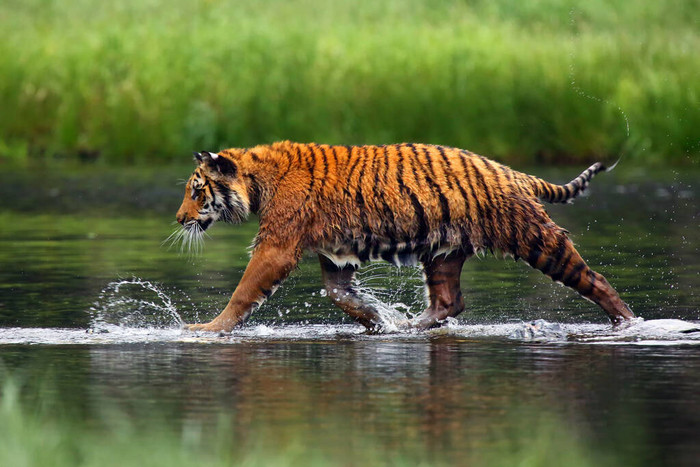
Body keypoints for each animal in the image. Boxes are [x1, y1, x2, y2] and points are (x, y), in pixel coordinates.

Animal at [175, 142, 636, 332]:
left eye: (196, 191)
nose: (179, 219)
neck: (258, 179)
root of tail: (511, 171)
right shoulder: (332, 255)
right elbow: (340, 295)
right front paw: (377, 321)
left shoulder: (276, 246)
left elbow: (243, 292)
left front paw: (207, 329)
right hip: (443, 252)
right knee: (450, 301)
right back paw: (410, 326)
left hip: (534, 237)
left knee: (595, 280)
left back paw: (631, 323)